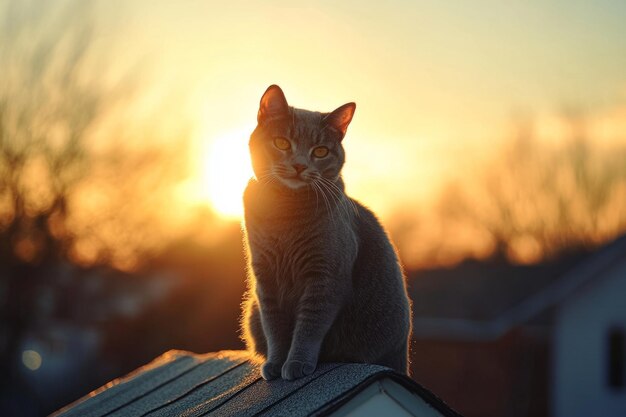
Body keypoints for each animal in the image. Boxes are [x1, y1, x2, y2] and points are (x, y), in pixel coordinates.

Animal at [239, 84, 410, 380]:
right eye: (282, 143)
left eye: (320, 151)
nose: (299, 165)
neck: (284, 212)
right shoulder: (265, 277)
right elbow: (274, 326)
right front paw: (275, 363)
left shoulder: (325, 277)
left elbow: (309, 326)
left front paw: (296, 364)